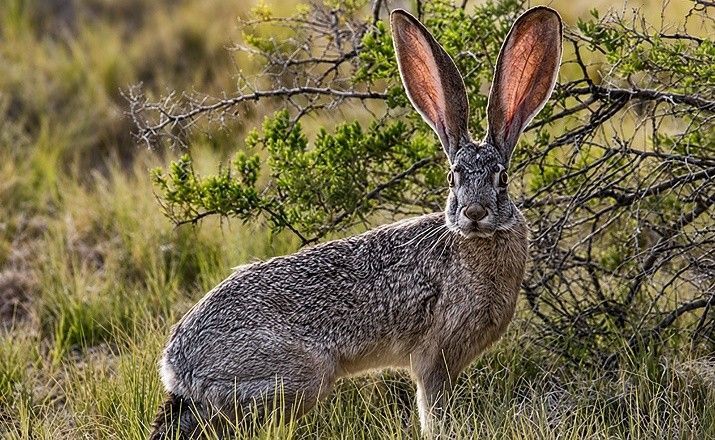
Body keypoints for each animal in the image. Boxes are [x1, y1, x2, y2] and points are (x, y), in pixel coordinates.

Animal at [149, 6, 562, 439]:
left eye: (503, 178)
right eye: (453, 178)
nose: (474, 212)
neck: (473, 241)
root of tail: (176, 368)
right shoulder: (434, 357)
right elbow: (433, 408)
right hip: (297, 377)